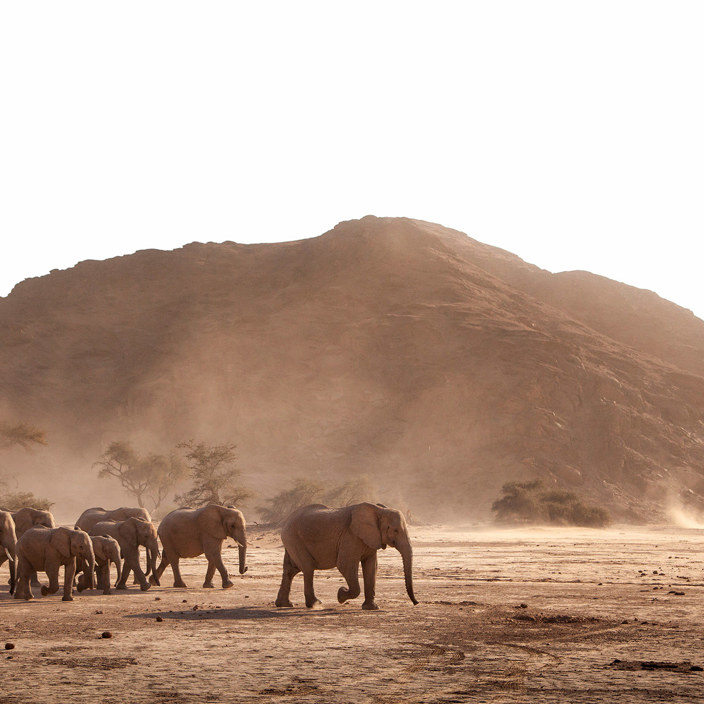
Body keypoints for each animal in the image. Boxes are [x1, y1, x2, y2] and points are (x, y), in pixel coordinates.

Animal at [275, 502, 418, 610]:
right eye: (395, 530)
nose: (416, 603)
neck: (379, 510)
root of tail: (286, 521)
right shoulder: (350, 536)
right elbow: (345, 565)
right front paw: (340, 594)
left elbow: (371, 567)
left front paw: (372, 608)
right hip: (293, 538)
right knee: (308, 568)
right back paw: (315, 604)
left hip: (291, 541)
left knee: (291, 570)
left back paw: (284, 605)